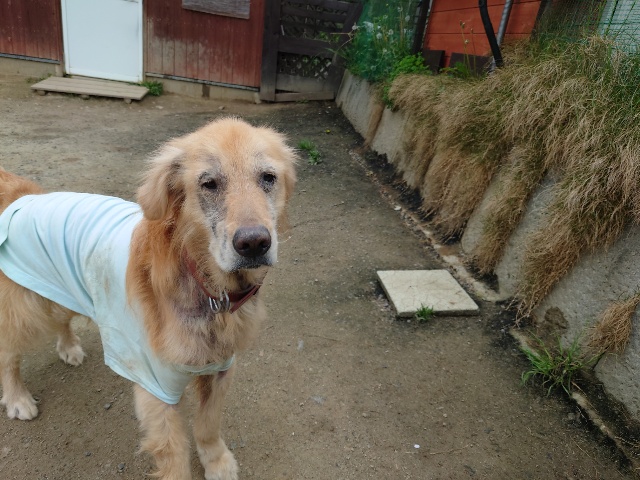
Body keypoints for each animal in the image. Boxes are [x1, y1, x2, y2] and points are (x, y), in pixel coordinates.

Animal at [0, 117, 296, 479]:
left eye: (268, 177)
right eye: (209, 183)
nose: (254, 243)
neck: (207, 287)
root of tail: (22, 197)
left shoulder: (220, 369)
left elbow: (208, 424)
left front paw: (216, 461)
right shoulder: (155, 387)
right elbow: (174, 456)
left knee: (61, 321)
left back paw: (69, 348)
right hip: (25, 309)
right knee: (8, 353)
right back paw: (17, 398)